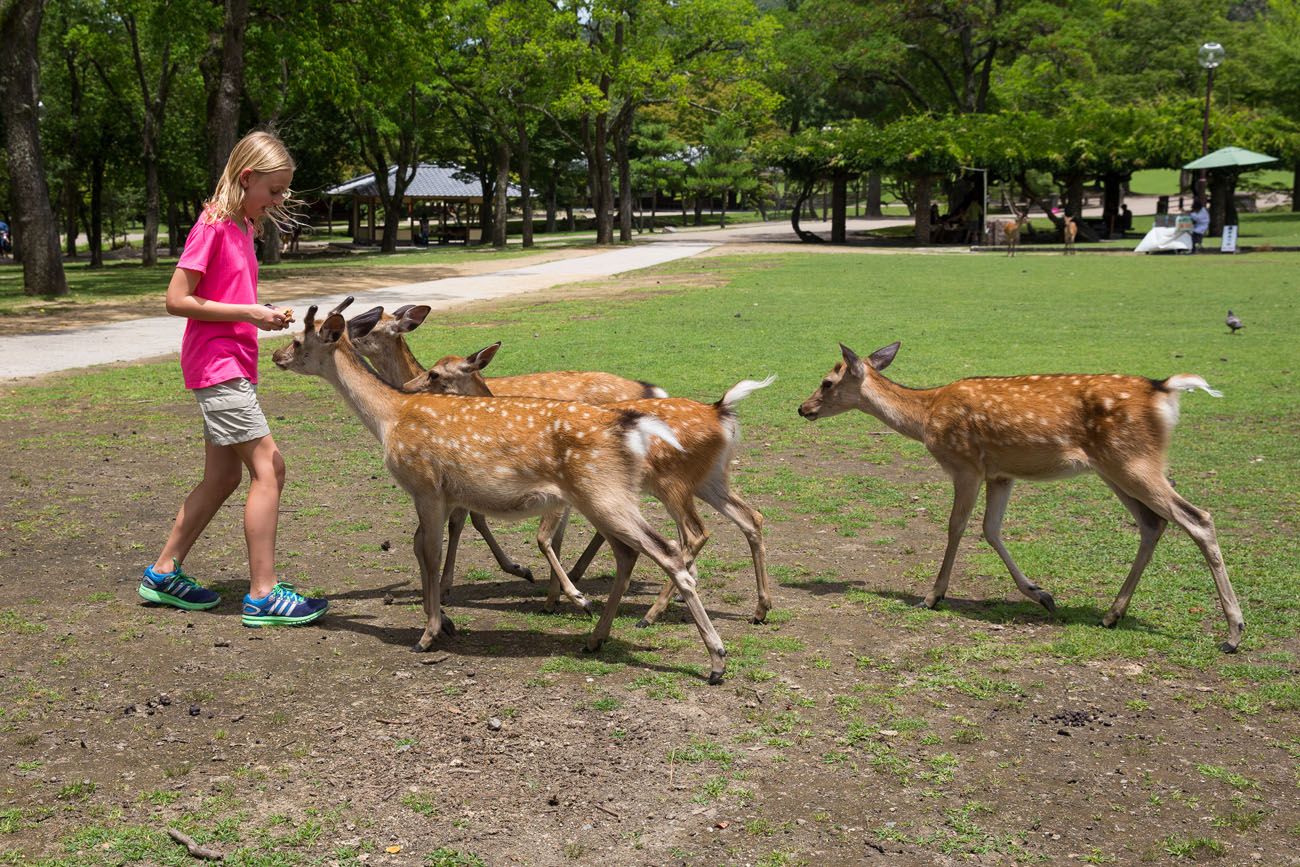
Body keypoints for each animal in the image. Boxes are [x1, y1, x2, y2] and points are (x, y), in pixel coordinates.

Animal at [405, 343, 769, 626]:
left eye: (435, 374)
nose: (408, 388)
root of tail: (721, 412)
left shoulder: (559, 494)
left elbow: (542, 539)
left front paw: (573, 598)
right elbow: (555, 540)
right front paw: (552, 600)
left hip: (673, 483)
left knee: (694, 534)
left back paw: (651, 614)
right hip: (711, 479)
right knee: (751, 517)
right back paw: (760, 609)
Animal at [795, 337, 1242, 649]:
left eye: (827, 381)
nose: (803, 408)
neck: (925, 418)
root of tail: (1165, 390)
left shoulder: (966, 465)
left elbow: (956, 526)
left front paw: (932, 595)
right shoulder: (1001, 474)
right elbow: (991, 530)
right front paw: (1041, 594)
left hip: (1133, 462)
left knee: (1198, 518)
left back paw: (1234, 632)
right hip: (1118, 468)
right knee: (1153, 523)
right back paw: (1112, 614)